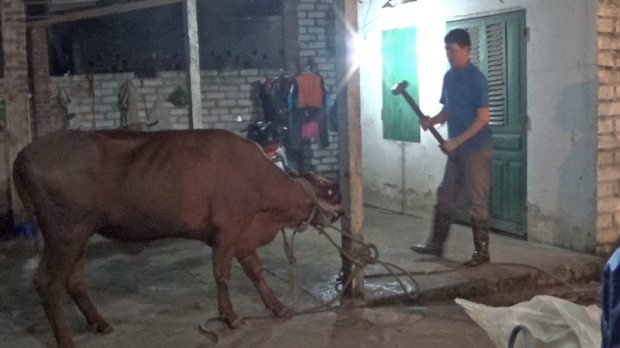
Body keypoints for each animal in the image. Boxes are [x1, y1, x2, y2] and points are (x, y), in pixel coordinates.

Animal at [13, 130, 344, 348]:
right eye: (330, 191)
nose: (341, 211)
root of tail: (24, 153)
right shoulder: (227, 231)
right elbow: (222, 275)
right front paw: (231, 317)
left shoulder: (243, 233)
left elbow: (256, 271)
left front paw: (278, 306)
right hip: (65, 232)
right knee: (48, 282)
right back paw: (66, 340)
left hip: (79, 234)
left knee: (75, 281)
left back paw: (101, 323)